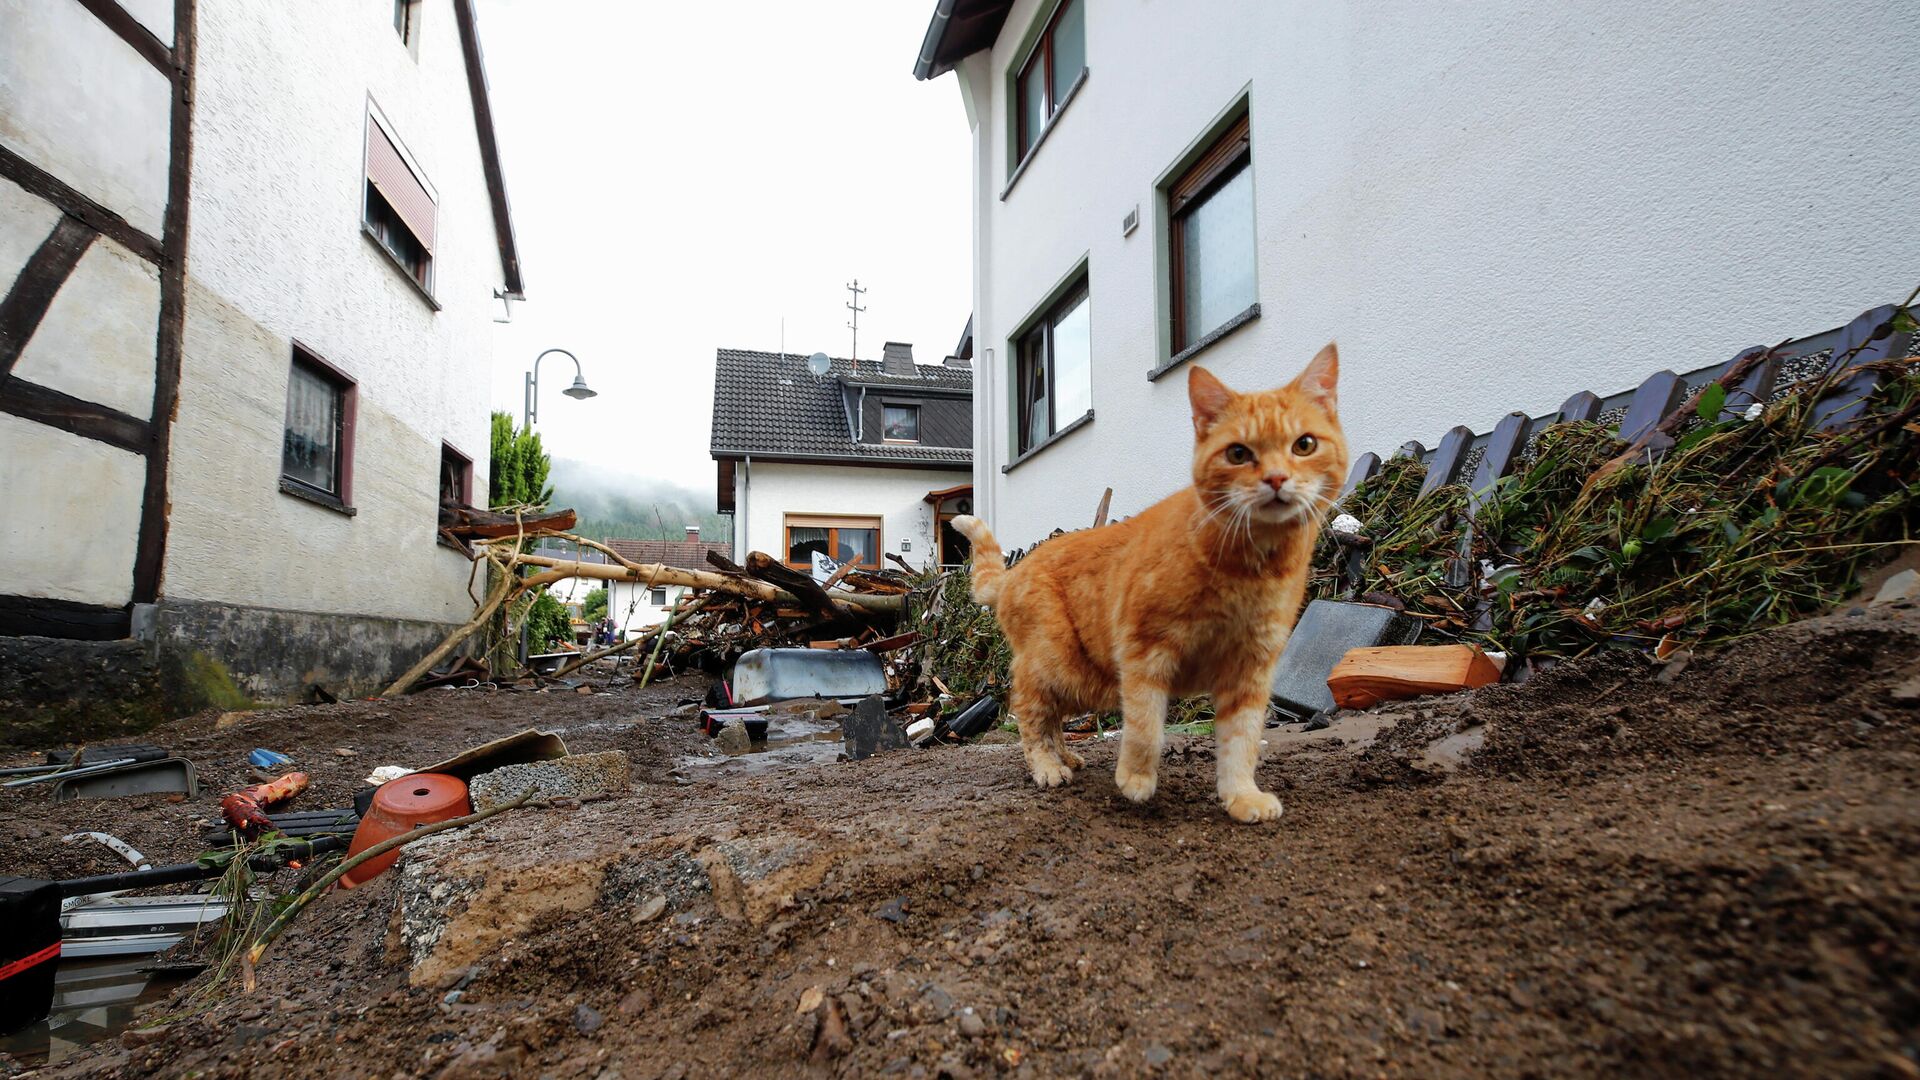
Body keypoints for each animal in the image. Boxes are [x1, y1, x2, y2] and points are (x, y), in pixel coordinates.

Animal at [952, 342, 1344, 814]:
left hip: (1086, 680)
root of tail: (1014, 572)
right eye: (1238, 453)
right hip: (1058, 662)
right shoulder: (1145, 653)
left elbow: (1242, 740)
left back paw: (1065, 756)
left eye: (1304, 445)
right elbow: (1145, 728)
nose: (1276, 478)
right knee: (1029, 707)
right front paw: (1136, 780)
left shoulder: (1250, 670)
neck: (1249, 567)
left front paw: (1241, 796)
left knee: (1053, 715)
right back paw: (1047, 766)